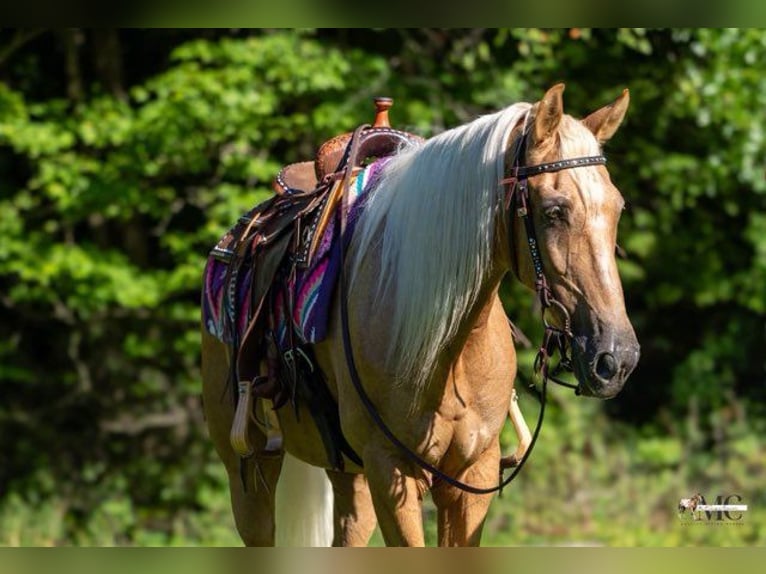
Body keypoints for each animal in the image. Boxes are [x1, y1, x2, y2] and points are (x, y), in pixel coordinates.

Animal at [201, 83, 640, 546]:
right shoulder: (390, 469)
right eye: (555, 210)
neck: (447, 350)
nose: (617, 359)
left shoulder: (473, 474)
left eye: (618, 208)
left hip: (349, 475)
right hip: (249, 472)